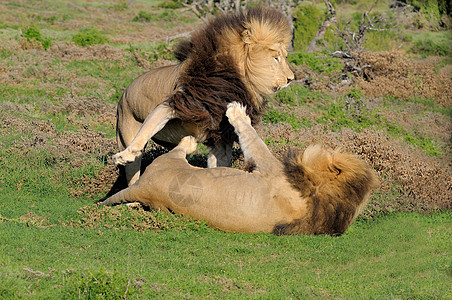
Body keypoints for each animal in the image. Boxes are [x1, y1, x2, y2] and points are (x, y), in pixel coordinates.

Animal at [103, 103, 378, 237]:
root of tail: (144, 188)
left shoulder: (269, 167)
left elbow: (253, 139)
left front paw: (236, 112)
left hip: (169, 162)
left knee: (179, 150)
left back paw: (189, 141)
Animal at [113, 6, 294, 185]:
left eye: (285, 57)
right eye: (276, 58)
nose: (291, 79)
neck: (240, 81)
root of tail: (124, 95)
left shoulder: (221, 138)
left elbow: (219, 165)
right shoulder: (179, 103)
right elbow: (148, 127)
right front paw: (125, 155)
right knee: (133, 175)